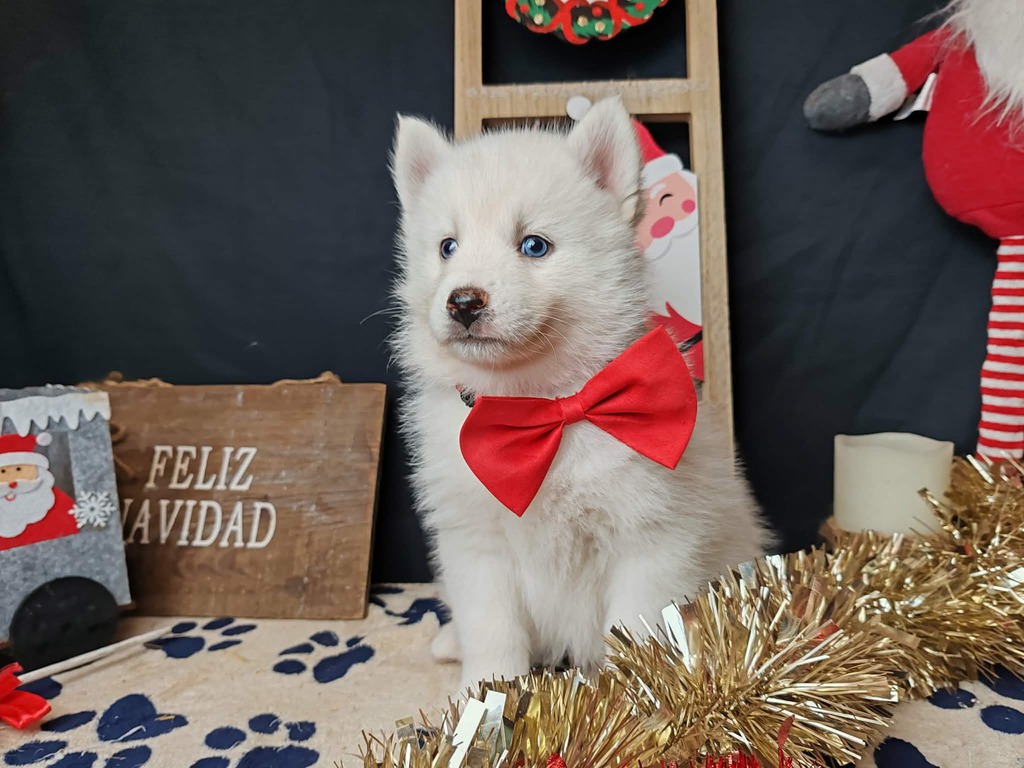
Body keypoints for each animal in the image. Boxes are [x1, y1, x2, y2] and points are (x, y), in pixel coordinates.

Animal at [389, 98, 772, 691]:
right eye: (447, 247)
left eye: (534, 246)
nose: (463, 302)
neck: (540, 407)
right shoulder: (476, 541)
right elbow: (491, 631)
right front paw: (485, 698)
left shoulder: (649, 538)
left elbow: (635, 633)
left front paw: (631, 703)